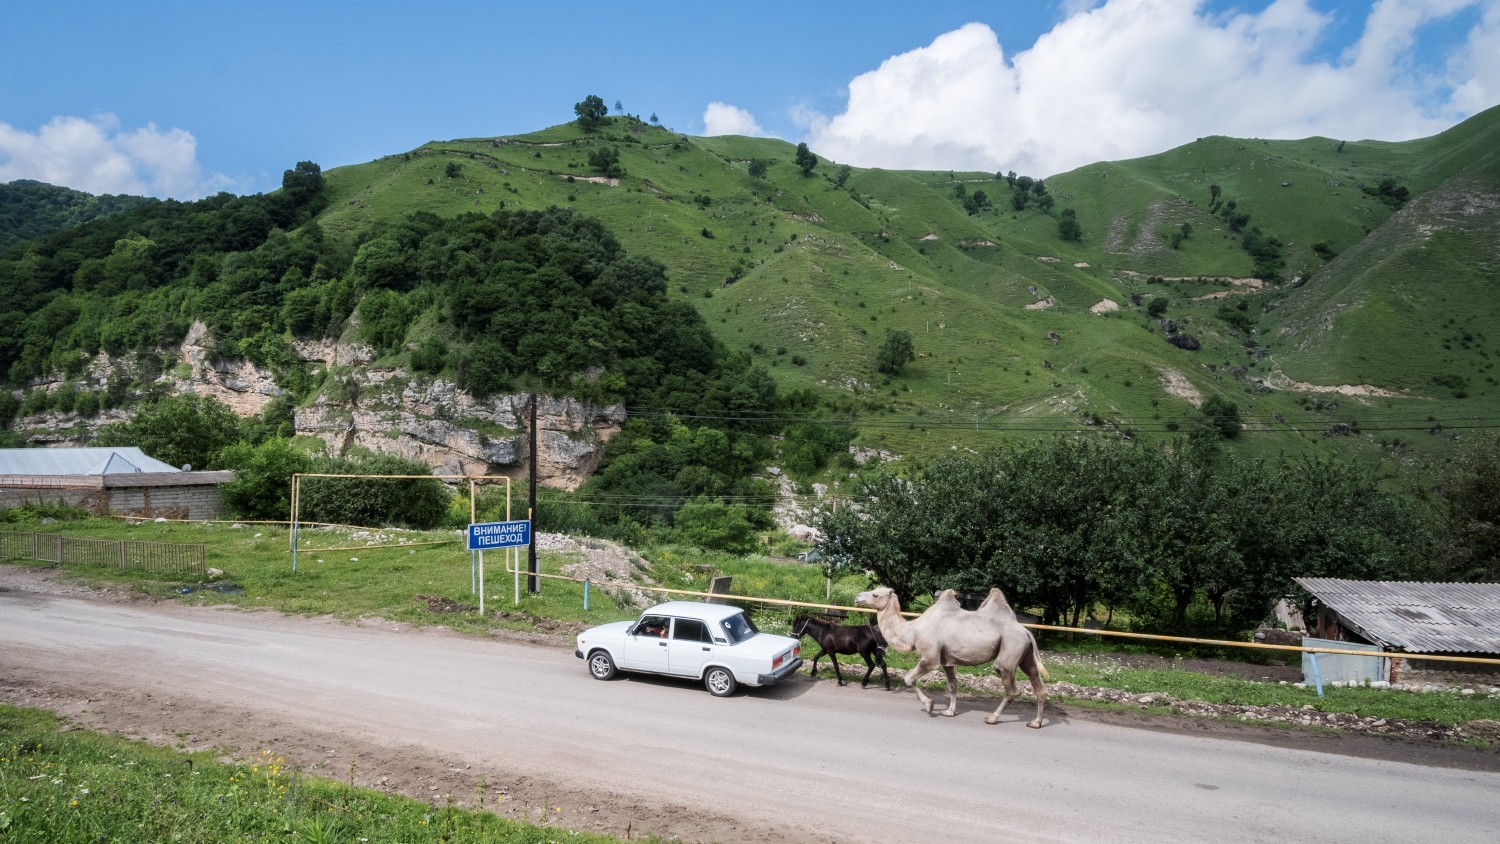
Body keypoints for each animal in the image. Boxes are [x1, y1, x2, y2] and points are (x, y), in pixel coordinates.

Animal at [858, 584, 1056, 728]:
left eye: (875, 594)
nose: (858, 597)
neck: (914, 630)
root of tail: (1025, 630)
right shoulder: (947, 661)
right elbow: (952, 685)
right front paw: (949, 712)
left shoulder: (930, 658)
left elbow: (909, 679)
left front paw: (929, 705)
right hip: (1026, 655)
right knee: (1037, 683)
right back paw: (1036, 722)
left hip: (1010, 648)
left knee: (1010, 686)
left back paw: (992, 718)